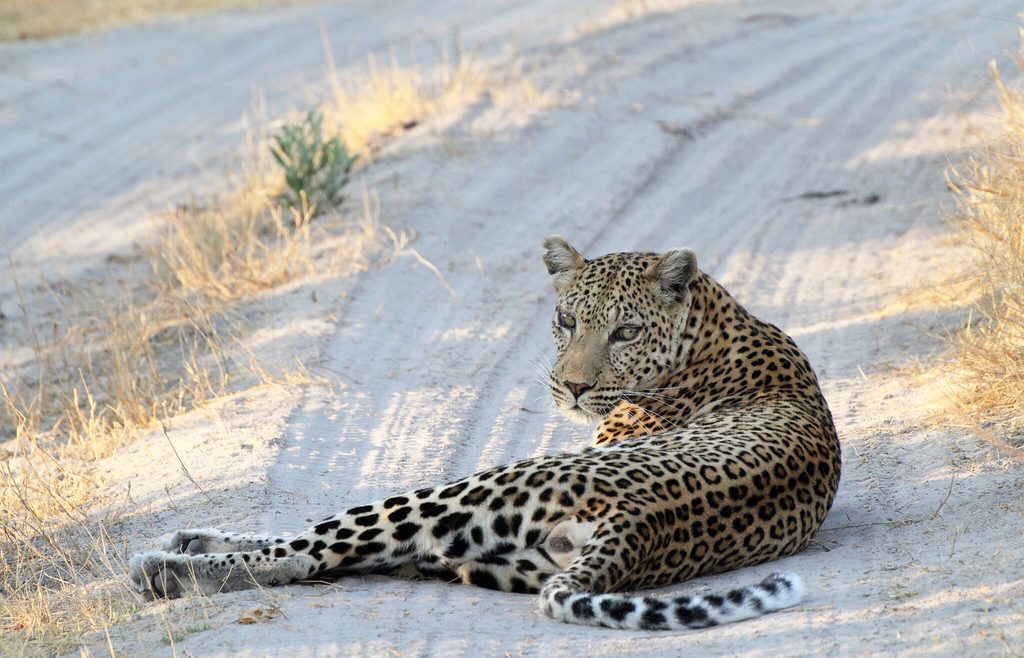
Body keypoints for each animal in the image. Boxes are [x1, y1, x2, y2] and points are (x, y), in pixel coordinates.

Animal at [129, 236, 841, 631]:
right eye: (566, 320)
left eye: (626, 332)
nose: (571, 387)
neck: (712, 324)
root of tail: (640, 525)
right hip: (493, 554)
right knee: (359, 553)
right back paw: (186, 545)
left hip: (474, 488)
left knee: (314, 549)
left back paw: (166, 568)